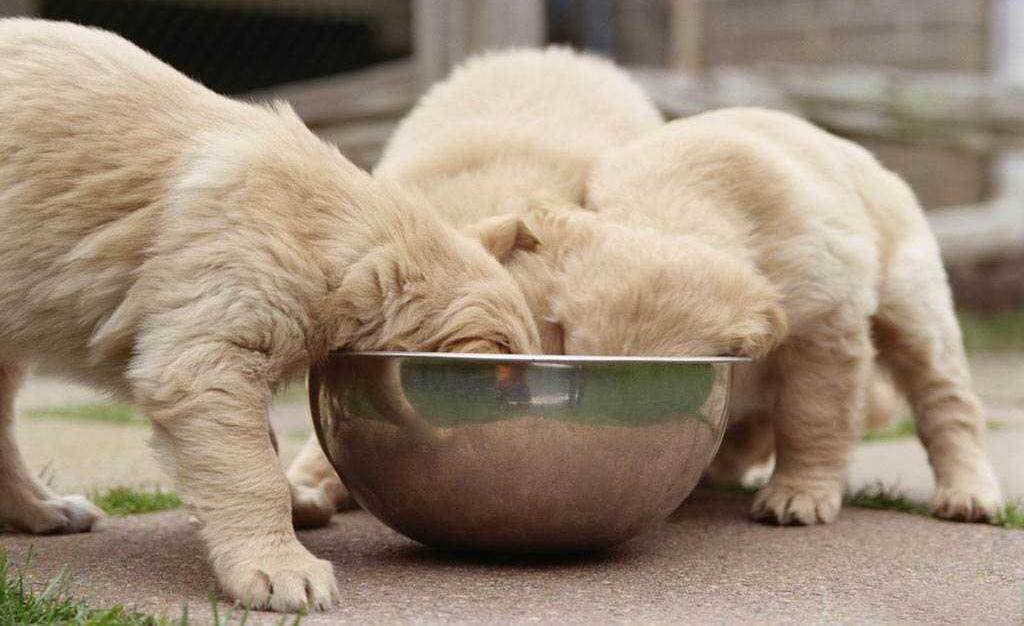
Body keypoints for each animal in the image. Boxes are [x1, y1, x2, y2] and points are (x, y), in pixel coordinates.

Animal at [0, 20, 540, 612]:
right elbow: (250, 468)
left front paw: (293, 508)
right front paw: (278, 567)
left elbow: (260, 446)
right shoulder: (208, 355)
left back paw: (43, 510)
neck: (342, 236)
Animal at [288, 47, 1002, 526]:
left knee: (945, 399)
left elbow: (815, 414)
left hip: (912, 298)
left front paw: (800, 494)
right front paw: (311, 483)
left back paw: (969, 491)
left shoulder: (826, 320)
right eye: (562, 337)